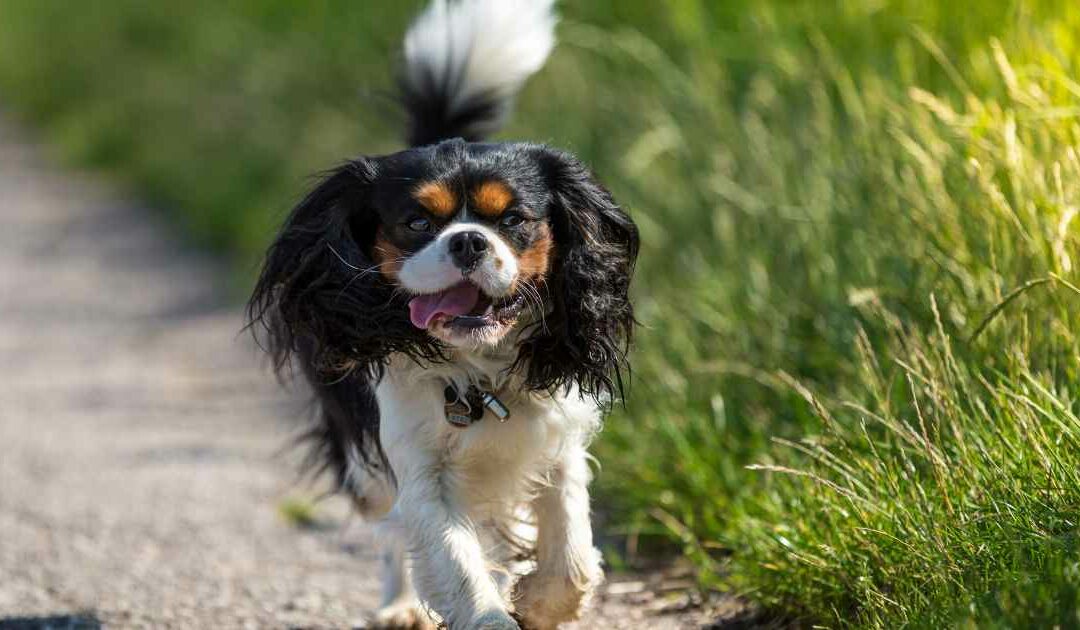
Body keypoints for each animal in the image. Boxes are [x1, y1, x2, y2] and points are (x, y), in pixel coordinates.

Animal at [250, 2, 639, 626]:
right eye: (416, 223)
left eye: (514, 220)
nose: (468, 241)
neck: (480, 367)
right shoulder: (418, 470)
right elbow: (455, 563)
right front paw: (496, 611)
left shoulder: (559, 438)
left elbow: (571, 550)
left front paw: (538, 602)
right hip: (365, 463)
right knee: (391, 533)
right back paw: (400, 606)